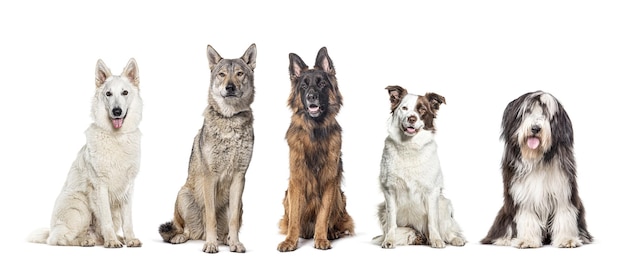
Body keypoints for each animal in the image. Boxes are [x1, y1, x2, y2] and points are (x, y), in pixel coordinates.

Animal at [28, 58, 143, 250]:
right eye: (108, 94)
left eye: (125, 92)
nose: (117, 111)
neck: (116, 137)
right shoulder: (100, 186)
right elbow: (106, 219)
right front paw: (112, 241)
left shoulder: (128, 188)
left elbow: (128, 220)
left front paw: (130, 239)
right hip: (80, 206)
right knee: (59, 238)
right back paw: (85, 241)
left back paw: (112, 238)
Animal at [370, 86, 464, 250]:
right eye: (404, 108)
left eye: (422, 110)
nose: (411, 119)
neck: (409, 146)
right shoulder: (389, 191)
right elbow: (391, 221)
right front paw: (389, 240)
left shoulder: (431, 191)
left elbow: (433, 221)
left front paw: (436, 240)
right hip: (382, 209)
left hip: (444, 204)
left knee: (446, 228)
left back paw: (453, 239)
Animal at [480, 91, 592, 250]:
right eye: (527, 111)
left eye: (546, 114)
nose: (535, 128)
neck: (537, 159)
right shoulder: (521, 193)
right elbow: (527, 216)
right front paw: (527, 240)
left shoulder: (563, 190)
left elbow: (563, 214)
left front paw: (566, 239)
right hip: (506, 212)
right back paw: (504, 239)